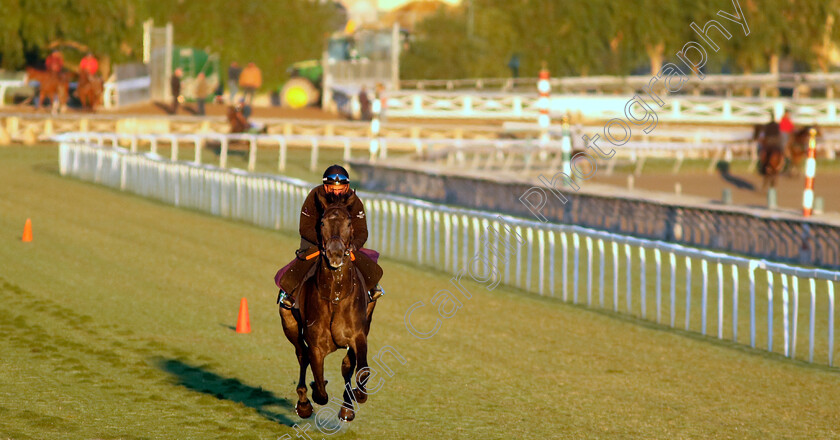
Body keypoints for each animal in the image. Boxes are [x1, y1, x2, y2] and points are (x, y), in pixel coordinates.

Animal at [278, 193, 378, 422]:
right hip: (290, 325)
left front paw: (357, 396)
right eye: (322, 222)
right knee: (301, 355)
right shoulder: (316, 345)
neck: (335, 295)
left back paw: (347, 407)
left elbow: (362, 370)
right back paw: (304, 403)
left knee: (347, 365)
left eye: (349, 223)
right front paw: (314, 391)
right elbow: (320, 391)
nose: (335, 254)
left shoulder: (358, 335)